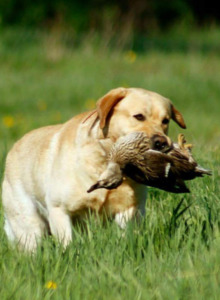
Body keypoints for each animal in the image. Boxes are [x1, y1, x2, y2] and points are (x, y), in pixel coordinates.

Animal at [1, 86, 186, 251]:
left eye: (165, 121)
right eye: (139, 116)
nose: (162, 143)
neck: (105, 162)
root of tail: (13, 148)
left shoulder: (130, 211)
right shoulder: (59, 210)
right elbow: (67, 245)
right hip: (29, 225)